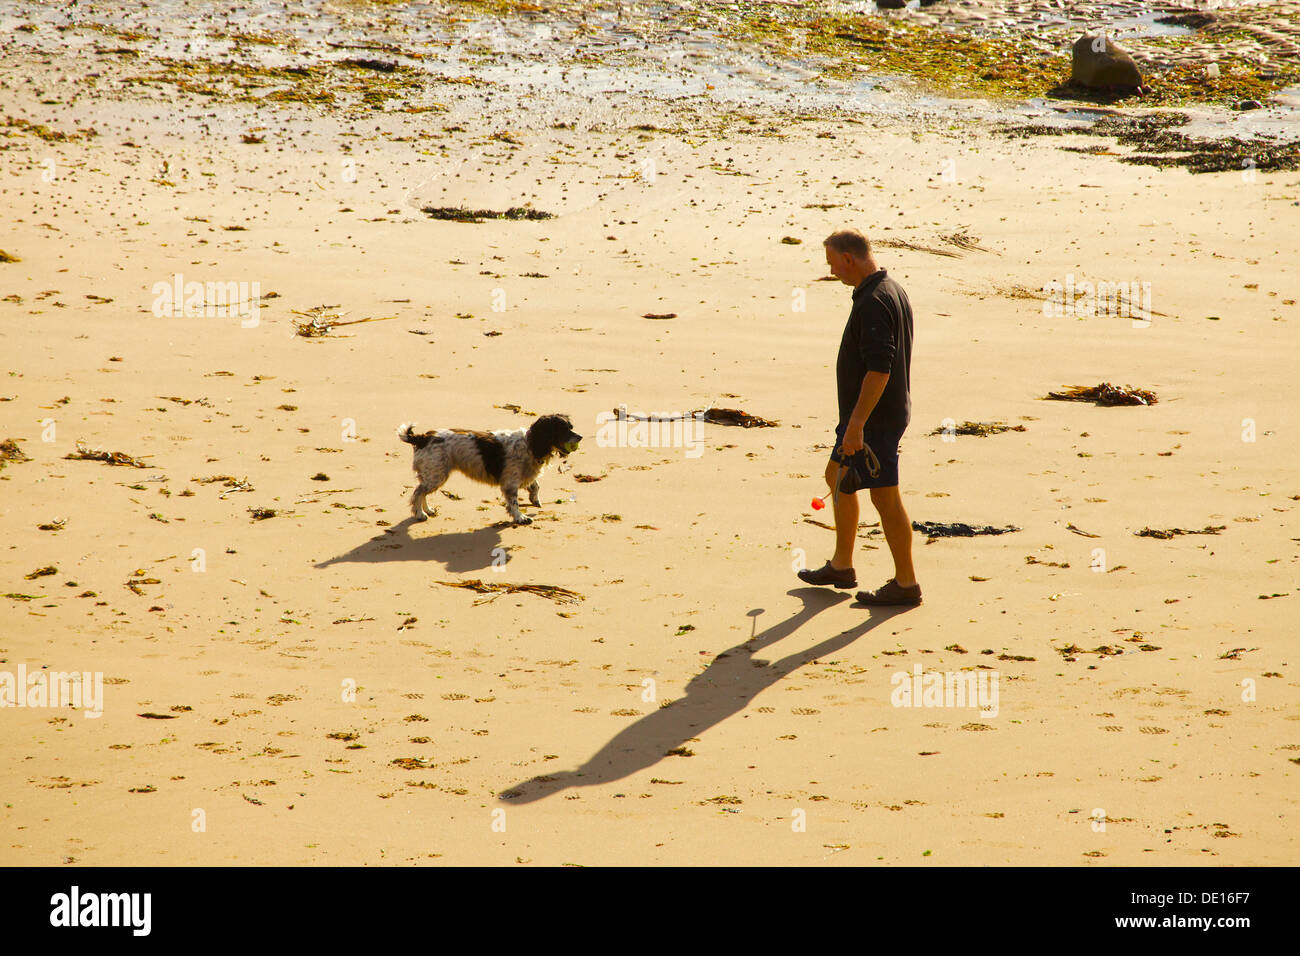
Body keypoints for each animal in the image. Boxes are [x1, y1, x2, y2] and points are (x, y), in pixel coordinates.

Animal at [392, 413, 582, 528]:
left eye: (571, 427)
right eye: (563, 429)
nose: (580, 437)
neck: (530, 444)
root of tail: (422, 438)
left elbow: (535, 485)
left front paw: (535, 500)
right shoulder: (510, 483)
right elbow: (514, 502)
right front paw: (520, 517)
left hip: (434, 474)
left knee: (422, 492)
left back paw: (428, 510)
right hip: (436, 475)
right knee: (418, 493)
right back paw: (420, 514)